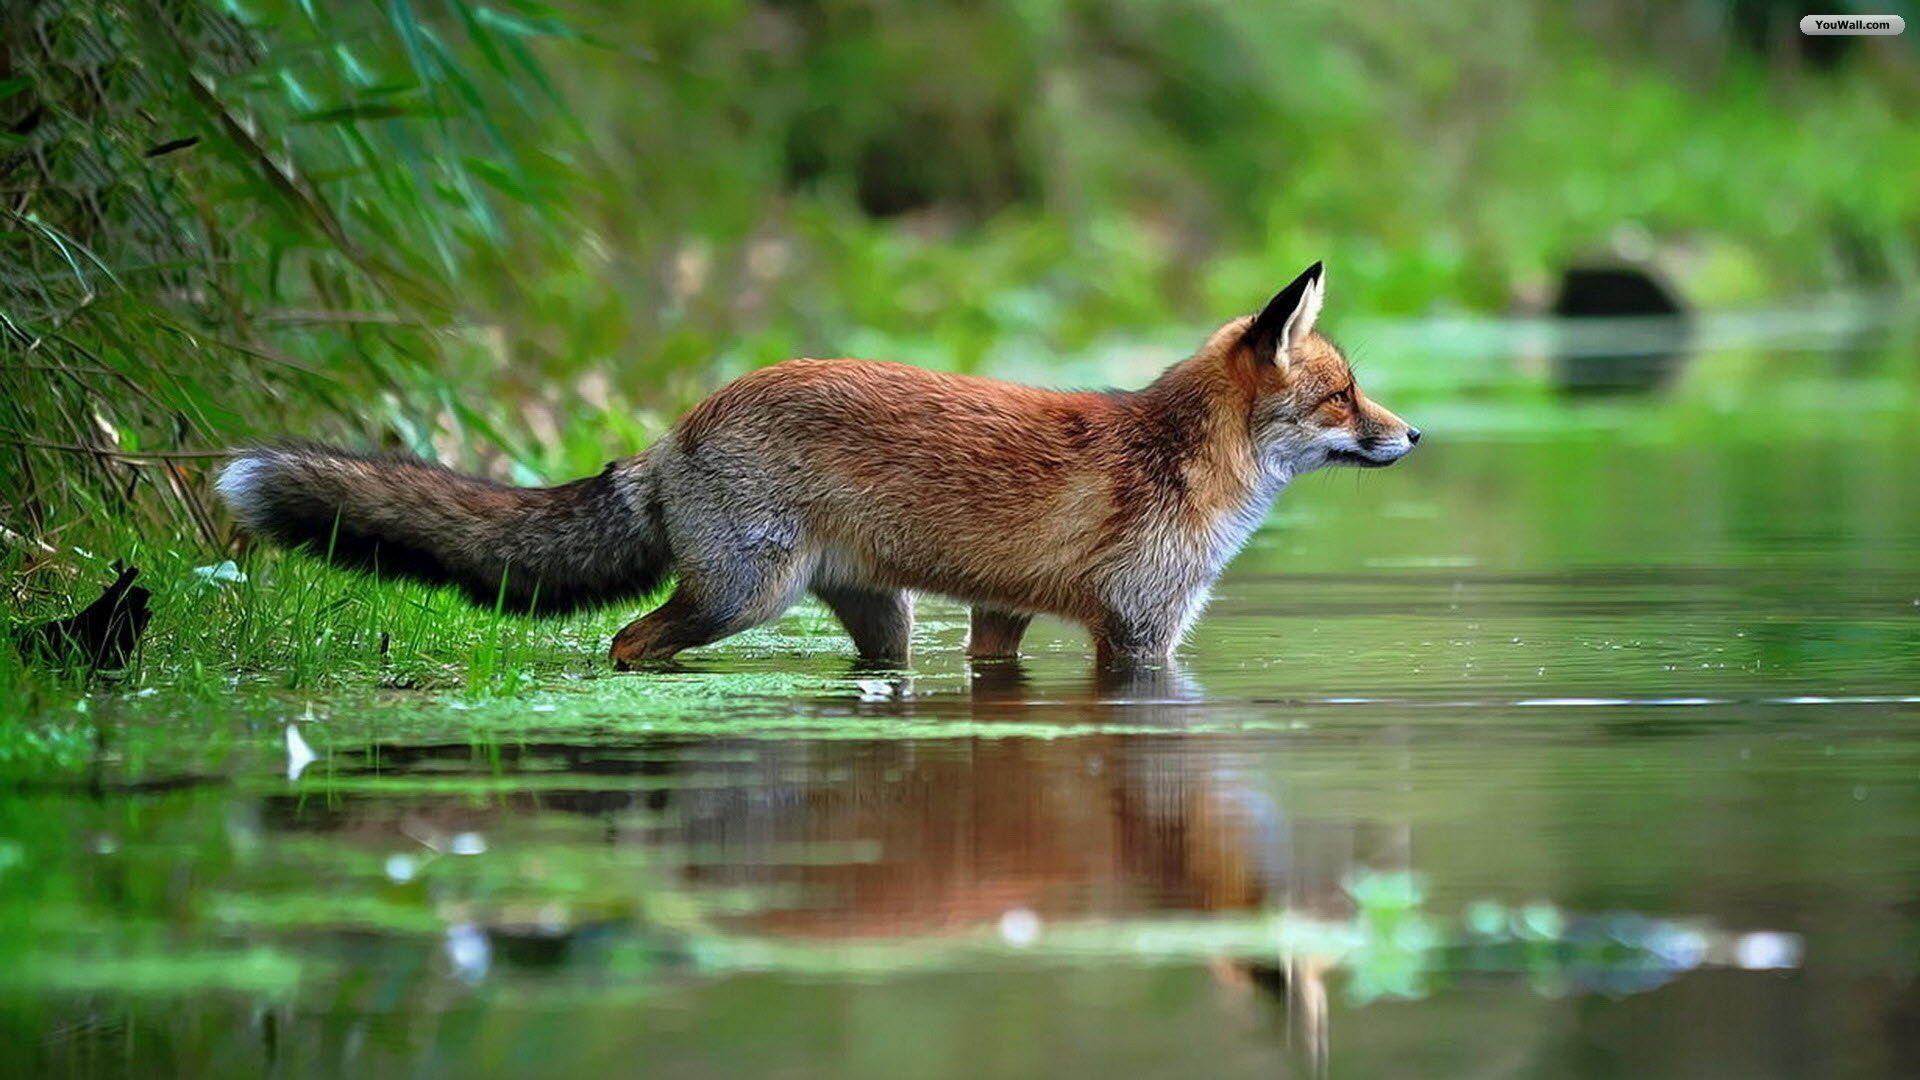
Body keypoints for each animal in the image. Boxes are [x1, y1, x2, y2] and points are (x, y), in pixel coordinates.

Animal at [216, 262, 1418, 669]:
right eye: (1344, 399)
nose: (1414, 438)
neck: (1181, 459)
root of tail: (674, 433)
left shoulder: (1006, 617)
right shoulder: (1139, 632)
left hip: (880, 618)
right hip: (741, 600)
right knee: (627, 640)